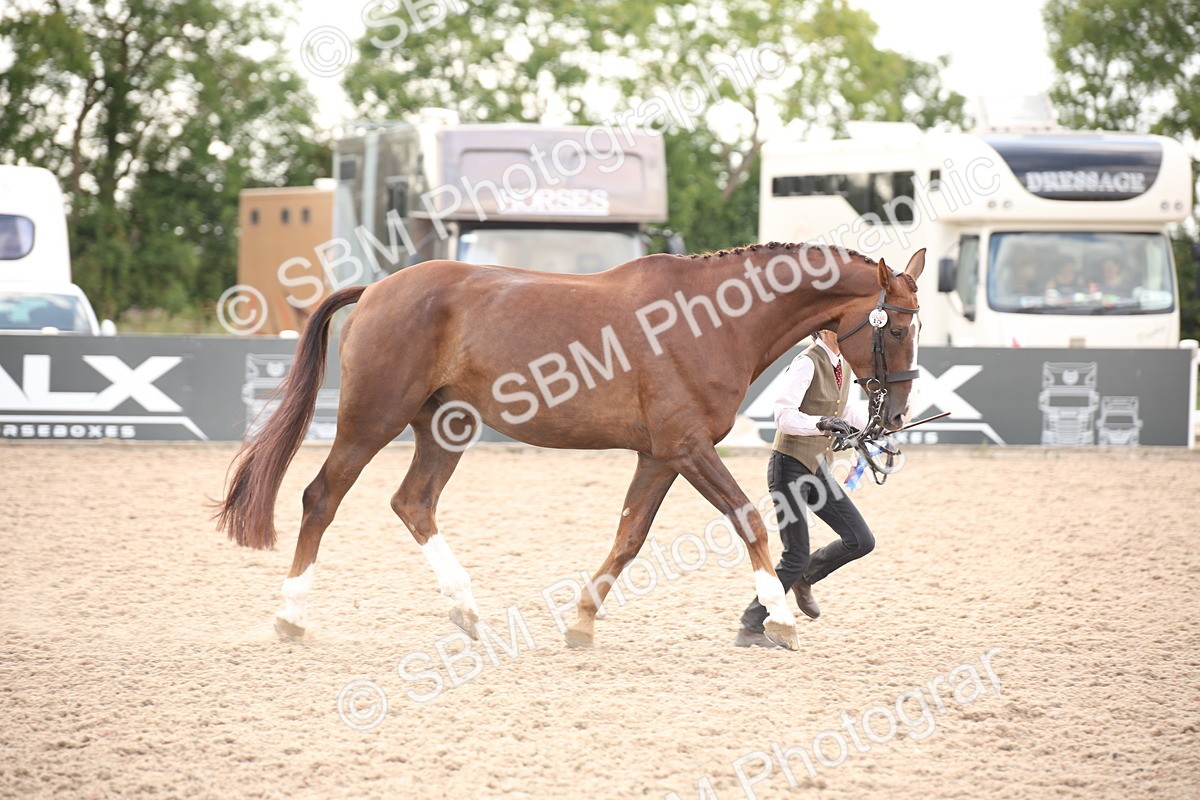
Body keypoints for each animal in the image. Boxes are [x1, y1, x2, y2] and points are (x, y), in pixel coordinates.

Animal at [216, 242, 925, 651]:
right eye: (896, 328)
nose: (894, 419)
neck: (712, 319)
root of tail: (378, 288)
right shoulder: (687, 446)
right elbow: (747, 518)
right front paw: (777, 619)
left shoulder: (660, 455)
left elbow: (630, 536)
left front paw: (581, 623)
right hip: (372, 419)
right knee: (321, 497)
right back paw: (291, 617)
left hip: (446, 427)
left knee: (413, 503)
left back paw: (469, 613)